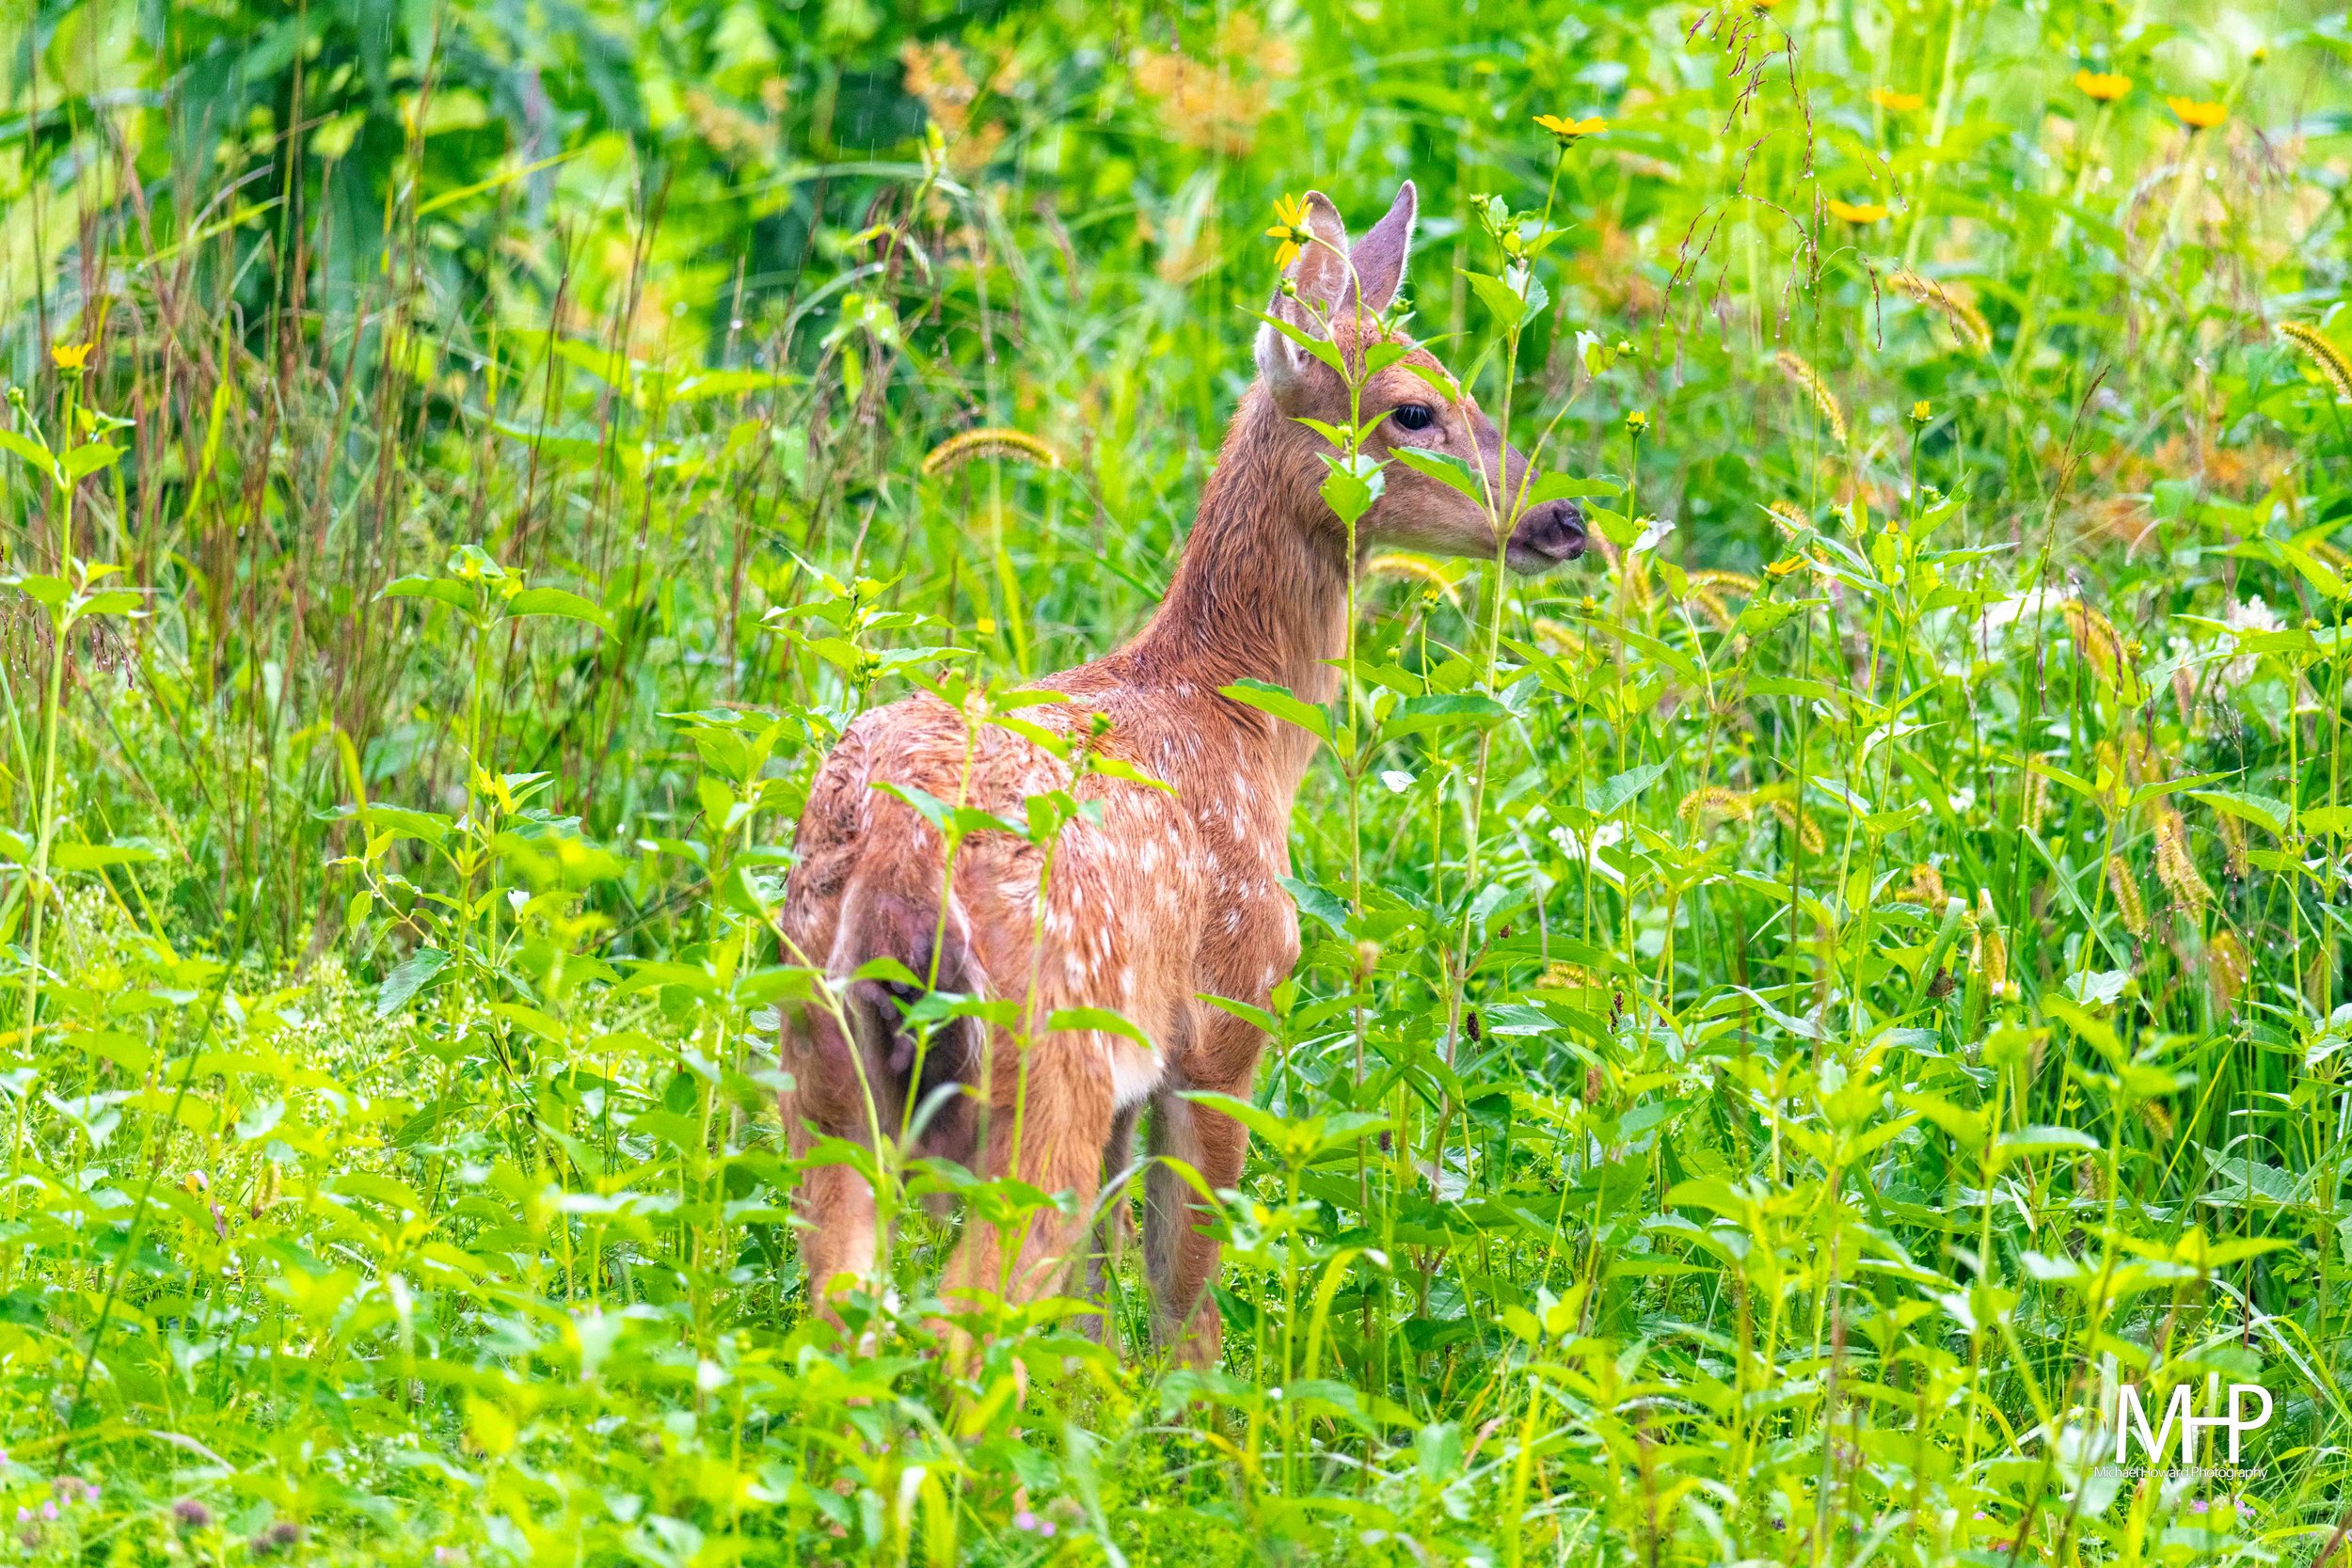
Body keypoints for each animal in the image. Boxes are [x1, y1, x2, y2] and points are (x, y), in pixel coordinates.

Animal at [776, 180, 1586, 1366]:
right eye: (1410, 410)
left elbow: (1095, 1307)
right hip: (1043, 1064)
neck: (1236, 722)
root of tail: (894, 853)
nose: (1562, 517)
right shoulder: (1227, 1010)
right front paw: (1198, 1408)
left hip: (820, 1064)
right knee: (967, 1321)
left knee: (841, 1313)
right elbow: (1182, 1285)